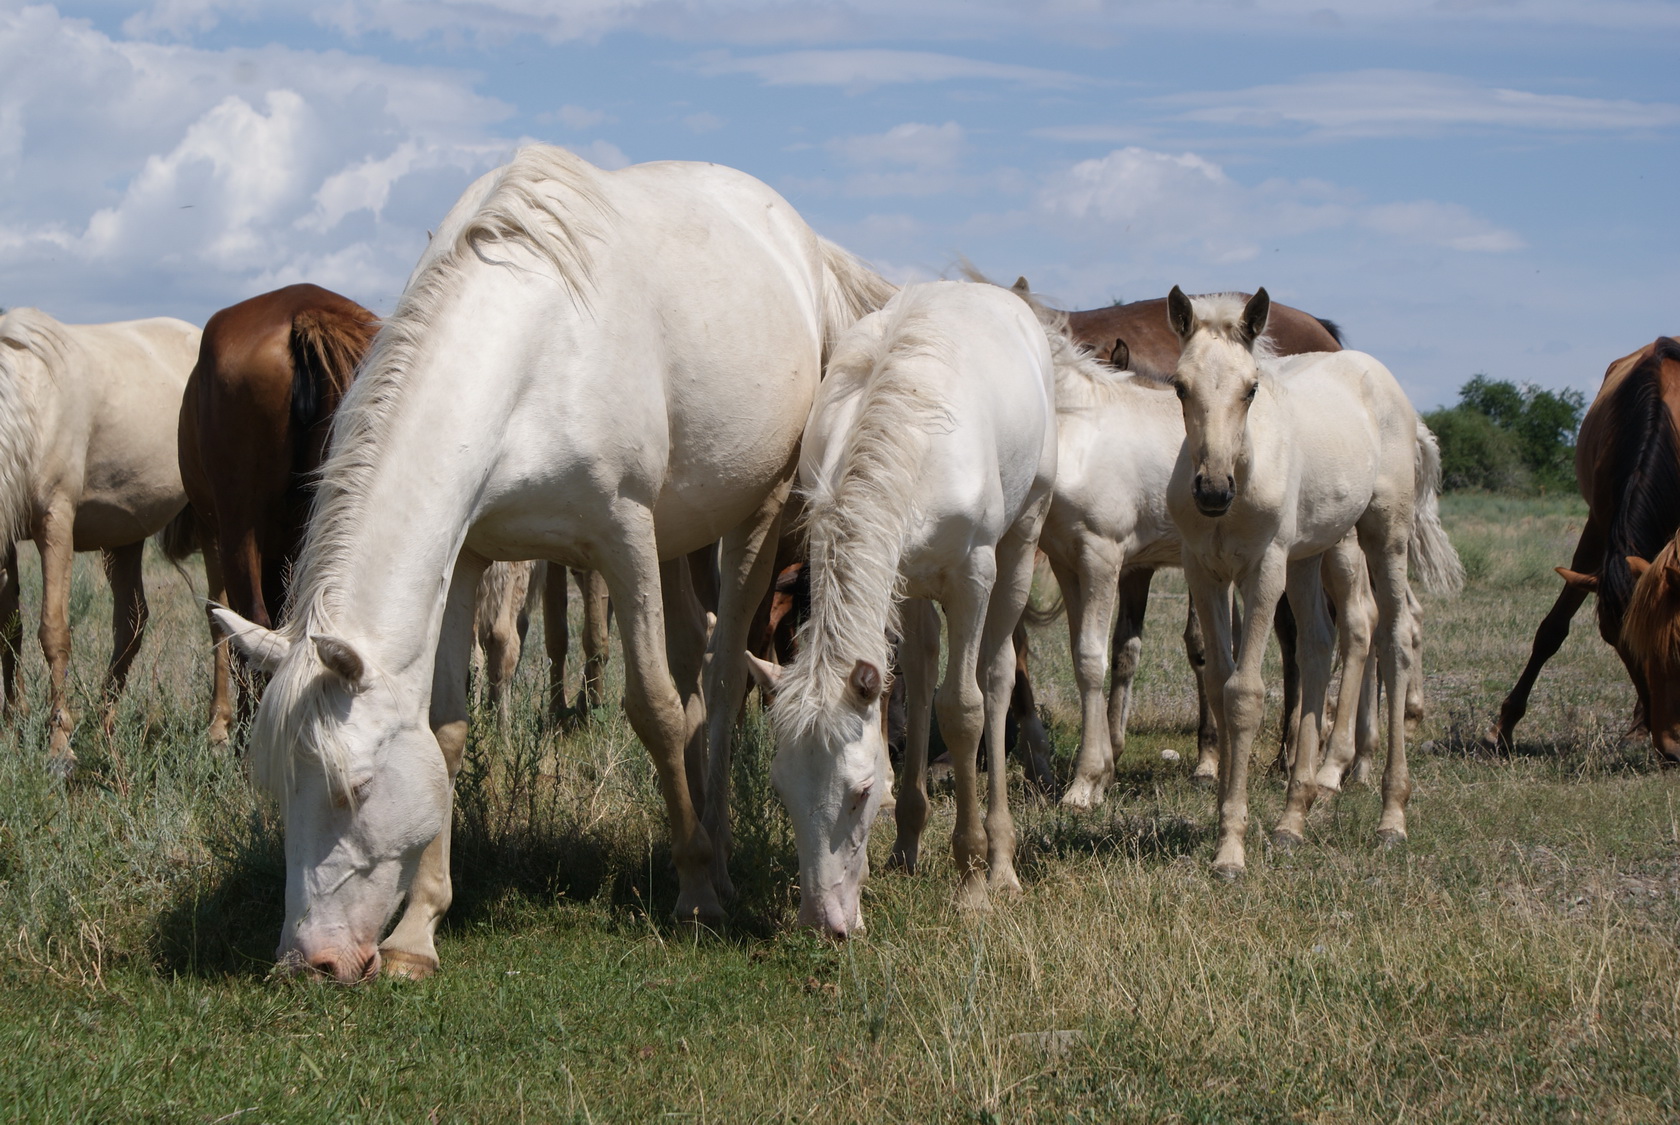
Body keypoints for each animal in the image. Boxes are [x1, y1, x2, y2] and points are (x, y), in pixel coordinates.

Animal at [0, 305, 198, 765]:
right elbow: (10, 631)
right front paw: (12, 733)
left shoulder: (56, 523)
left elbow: (53, 631)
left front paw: (59, 746)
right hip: (126, 536)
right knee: (131, 623)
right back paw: (104, 728)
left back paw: (219, 734)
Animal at [218, 145, 900, 980]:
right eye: (280, 785)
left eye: (356, 785)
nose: (307, 959)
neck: (532, 352)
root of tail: (802, 242)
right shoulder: (471, 554)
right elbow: (447, 728)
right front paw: (418, 928)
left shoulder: (623, 535)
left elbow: (655, 709)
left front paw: (695, 889)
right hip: (681, 535)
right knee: (695, 650)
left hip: (753, 517)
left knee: (718, 677)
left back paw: (717, 857)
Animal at [745, 282, 1048, 933]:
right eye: (782, 789)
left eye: (861, 790)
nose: (824, 922)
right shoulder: (895, 573)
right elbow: (907, 682)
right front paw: (911, 840)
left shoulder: (972, 576)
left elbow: (963, 708)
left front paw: (971, 880)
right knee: (923, 663)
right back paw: (910, 839)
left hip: (1022, 538)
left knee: (997, 675)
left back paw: (1001, 862)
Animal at [1169, 287, 1458, 879]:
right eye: (1179, 386)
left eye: (1251, 388)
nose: (1213, 490)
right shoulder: (1203, 570)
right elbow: (1220, 681)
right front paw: (1226, 813)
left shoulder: (1264, 568)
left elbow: (1245, 693)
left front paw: (1230, 850)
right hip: (1311, 554)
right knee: (1320, 644)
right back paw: (1292, 818)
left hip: (1380, 536)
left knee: (1393, 637)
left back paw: (1391, 816)